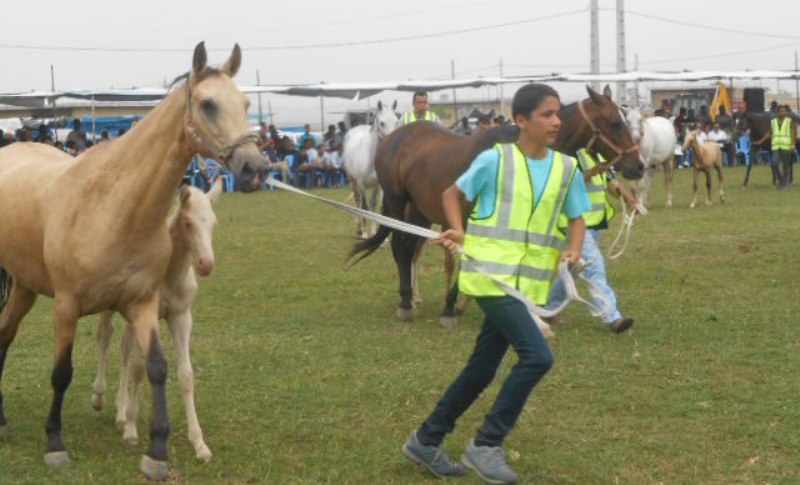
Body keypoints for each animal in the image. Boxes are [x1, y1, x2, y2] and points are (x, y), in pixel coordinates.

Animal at [91, 180, 222, 460]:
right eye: (188, 223)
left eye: (214, 223)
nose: (205, 265)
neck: (169, 276)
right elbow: (140, 368)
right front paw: (131, 431)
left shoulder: (181, 317)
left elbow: (185, 376)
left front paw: (199, 444)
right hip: (109, 306)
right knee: (105, 336)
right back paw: (100, 396)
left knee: (124, 349)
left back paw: (120, 411)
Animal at [342, 100, 398, 238]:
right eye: (382, 123)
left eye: (396, 121)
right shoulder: (361, 184)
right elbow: (365, 207)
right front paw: (365, 233)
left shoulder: (377, 185)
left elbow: (373, 206)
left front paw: (373, 233)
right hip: (353, 181)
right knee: (357, 202)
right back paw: (359, 229)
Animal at [350, 85, 644, 328]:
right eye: (616, 123)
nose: (638, 166)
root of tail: (393, 139)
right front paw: (452, 307)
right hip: (397, 200)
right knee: (400, 245)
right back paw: (406, 303)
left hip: (420, 209)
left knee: (410, 247)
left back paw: (413, 297)